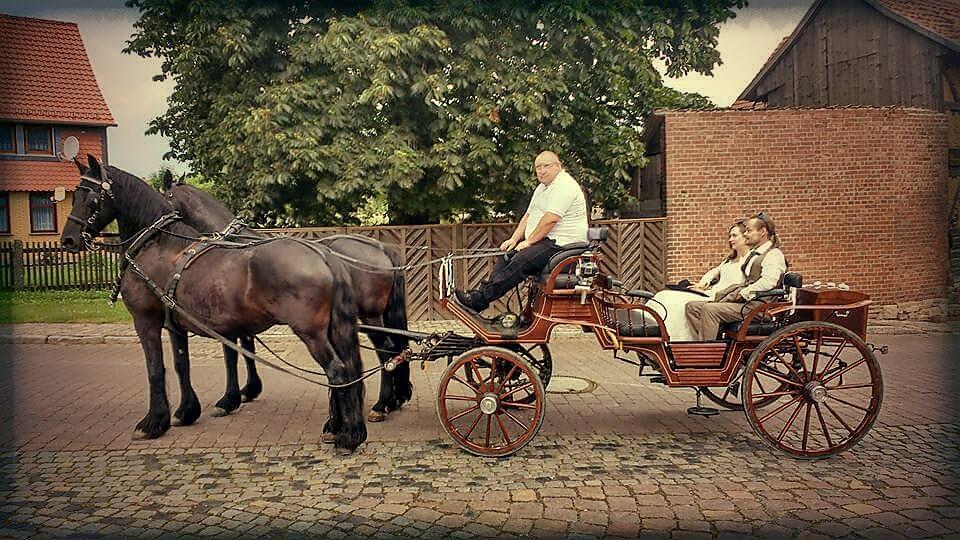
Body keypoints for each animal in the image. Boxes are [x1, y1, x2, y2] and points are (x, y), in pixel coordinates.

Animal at [61, 156, 368, 452]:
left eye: (89, 196)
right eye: (75, 195)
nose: (68, 239)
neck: (160, 246)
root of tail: (324, 255)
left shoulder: (147, 321)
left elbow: (156, 369)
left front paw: (153, 422)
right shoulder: (179, 323)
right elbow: (182, 364)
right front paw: (187, 411)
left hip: (311, 333)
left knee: (337, 371)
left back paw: (347, 436)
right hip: (332, 329)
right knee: (348, 369)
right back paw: (345, 428)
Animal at [158, 173, 412, 422]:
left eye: (168, 195)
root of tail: (380, 248)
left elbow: (232, 354)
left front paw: (229, 400)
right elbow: (247, 348)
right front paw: (248, 390)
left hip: (370, 316)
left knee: (386, 350)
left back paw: (382, 404)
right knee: (396, 348)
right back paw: (394, 399)